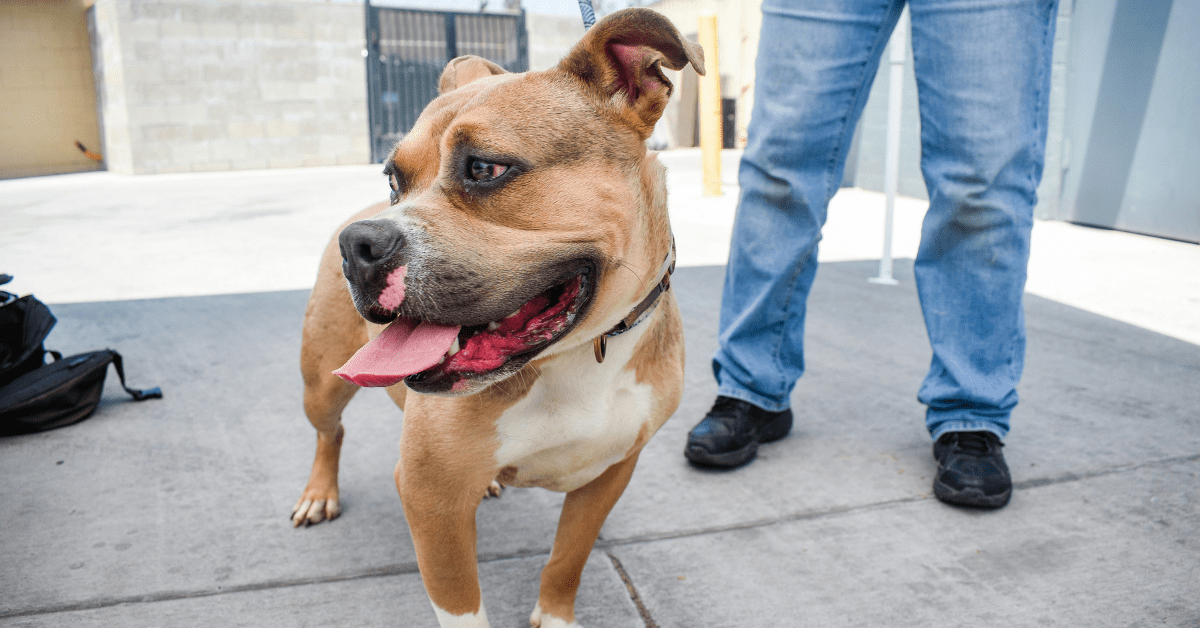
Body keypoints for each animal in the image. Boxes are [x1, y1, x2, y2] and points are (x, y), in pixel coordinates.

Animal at [292, 9, 700, 628]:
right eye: (393, 180)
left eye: (484, 167)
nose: (359, 246)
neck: (577, 353)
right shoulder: (431, 498)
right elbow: (462, 605)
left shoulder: (610, 473)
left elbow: (567, 559)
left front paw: (554, 615)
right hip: (322, 382)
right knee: (329, 431)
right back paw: (320, 492)